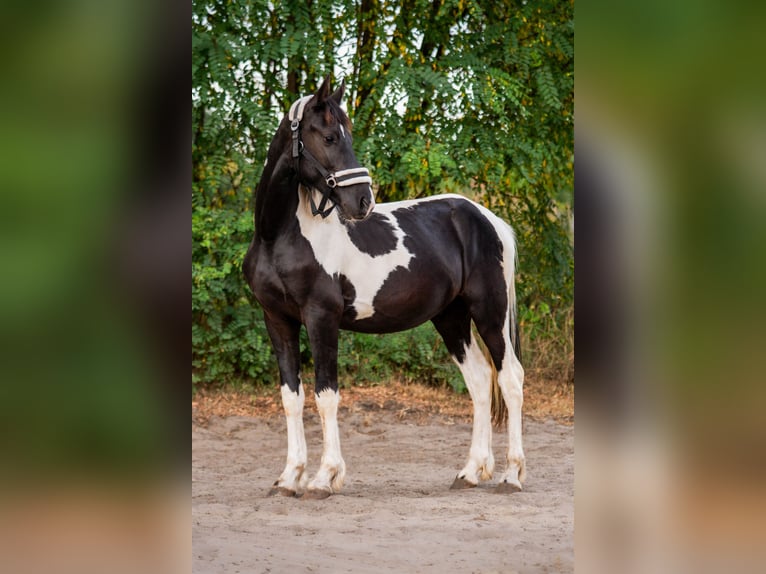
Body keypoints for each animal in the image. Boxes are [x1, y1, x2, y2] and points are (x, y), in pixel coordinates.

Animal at [243, 76, 525, 499]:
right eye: (329, 136)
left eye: (348, 135)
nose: (362, 201)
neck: (280, 237)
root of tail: (487, 218)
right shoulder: (277, 319)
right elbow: (292, 398)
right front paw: (290, 477)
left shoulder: (321, 318)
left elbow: (326, 396)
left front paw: (325, 477)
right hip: (451, 317)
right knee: (478, 380)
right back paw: (471, 472)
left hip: (490, 313)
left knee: (510, 379)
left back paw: (512, 474)